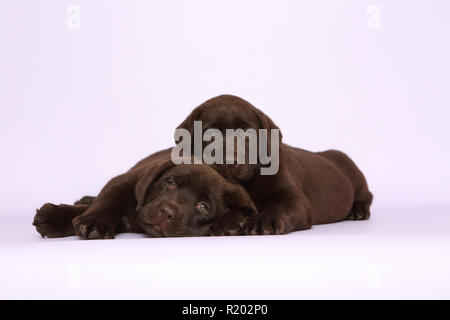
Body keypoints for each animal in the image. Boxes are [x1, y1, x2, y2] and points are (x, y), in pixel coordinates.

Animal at [31, 149, 256, 239]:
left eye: (203, 206)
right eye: (170, 182)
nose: (167, 213)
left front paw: (231, 220)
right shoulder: (128, 180)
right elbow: (109, 197)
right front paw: (95, 221)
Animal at [178, 94, 374, 234]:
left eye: (247, 134)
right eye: (210, 135)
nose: (229, 162)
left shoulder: (296, 201)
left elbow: (280, 207)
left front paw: (263, 221)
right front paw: (227, 221)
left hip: (350, 168)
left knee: (367, 196)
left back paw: (358, 210)